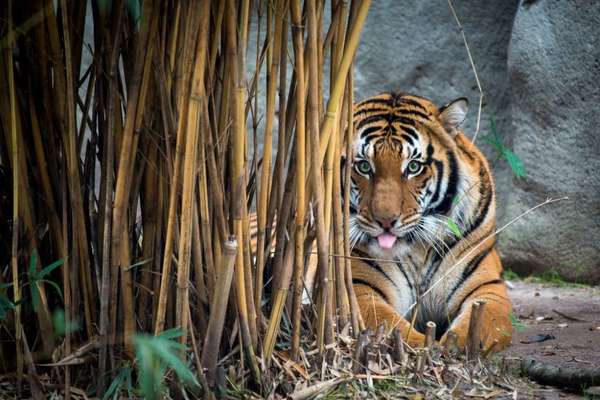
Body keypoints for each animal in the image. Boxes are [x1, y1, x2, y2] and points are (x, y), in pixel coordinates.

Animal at [350, 90, 512, 350]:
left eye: (414, 166)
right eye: (364, 166)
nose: (385, 221)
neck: (417, 249)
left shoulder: (487, 288)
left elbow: (481, 326)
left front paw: (453, 347)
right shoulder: (358, 287)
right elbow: (394, 330)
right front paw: (427, 348)